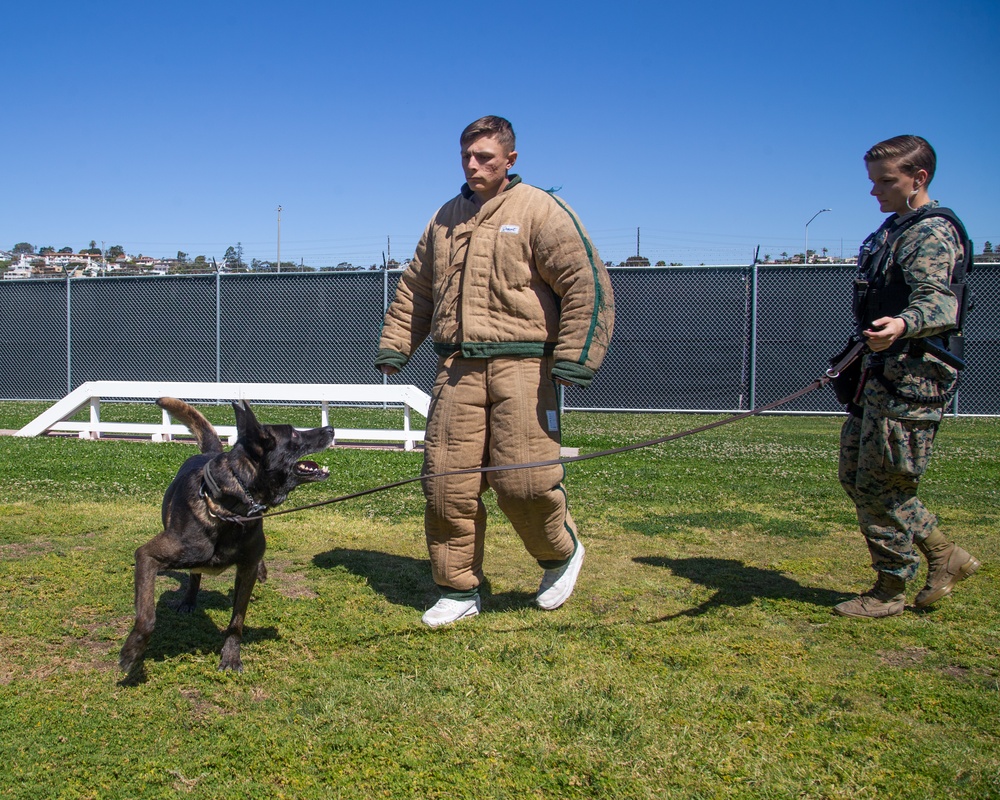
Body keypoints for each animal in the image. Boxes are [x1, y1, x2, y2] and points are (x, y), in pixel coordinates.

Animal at [119, 400, 334, 676]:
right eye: (295, 434)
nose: (330, 428)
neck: (231, 508)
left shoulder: (246, 569)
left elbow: (237, 621)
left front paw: (231, 656)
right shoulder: (147, 556)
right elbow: (147, 616)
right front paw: (132, 652)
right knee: (195, 576)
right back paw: (188, 600)